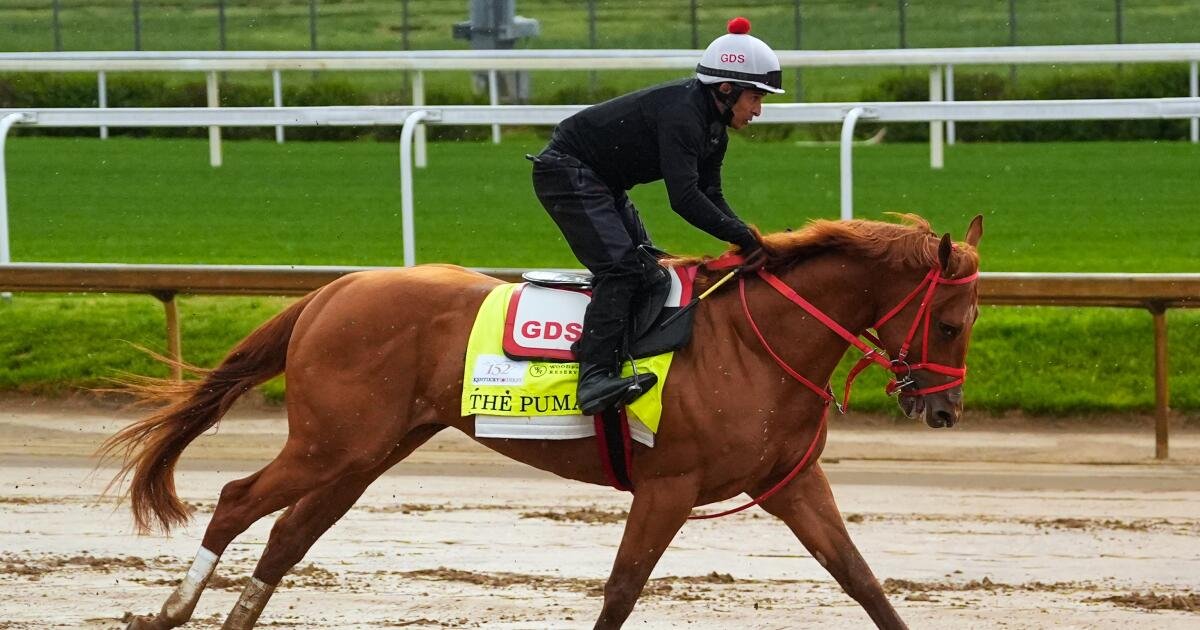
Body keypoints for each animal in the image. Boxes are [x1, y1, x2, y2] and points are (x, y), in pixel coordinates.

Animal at [103, 213, 983, 630]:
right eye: (949, 322)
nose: (943, 409)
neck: (753, 342)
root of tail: (334, 289)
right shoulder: (668, 486)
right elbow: (622, 590)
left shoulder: (790, 484)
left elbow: (862, 581)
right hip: (332, 442)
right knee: (237, 500)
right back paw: (171, 610)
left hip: (367, 451)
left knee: (289, 533)